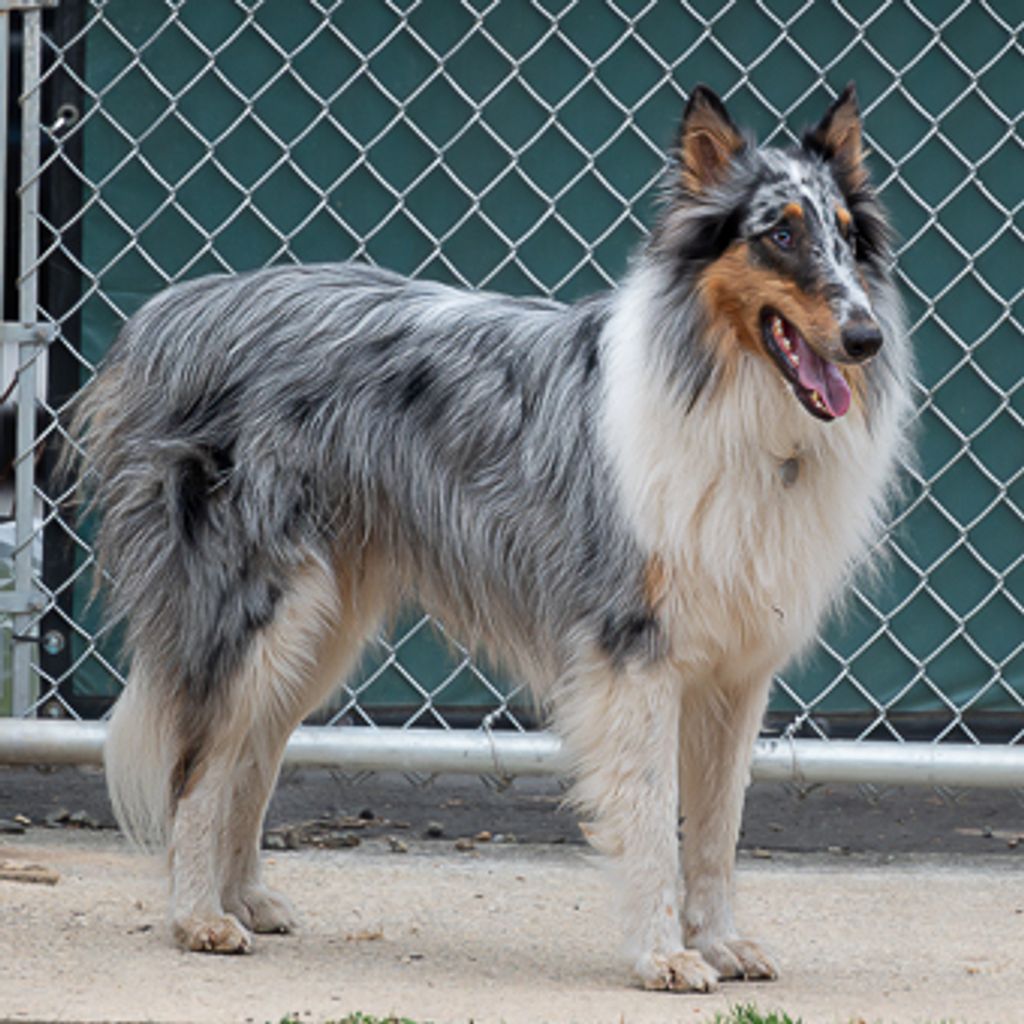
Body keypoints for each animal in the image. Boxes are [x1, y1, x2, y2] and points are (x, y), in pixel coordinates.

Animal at [72, 88, 913, 991]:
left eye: (846, 236)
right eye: (778, 235)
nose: (867, 339)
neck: (734, 403)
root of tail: (174, 313)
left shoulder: (737, 670)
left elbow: (719, 830)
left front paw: (720, 943)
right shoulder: (636, 654)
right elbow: (655, 819)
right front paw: (663, 955)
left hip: (319, 624)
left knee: (250, 754)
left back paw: (245, 900)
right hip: (259, 606)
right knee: (200, 762)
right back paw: (198, 917)